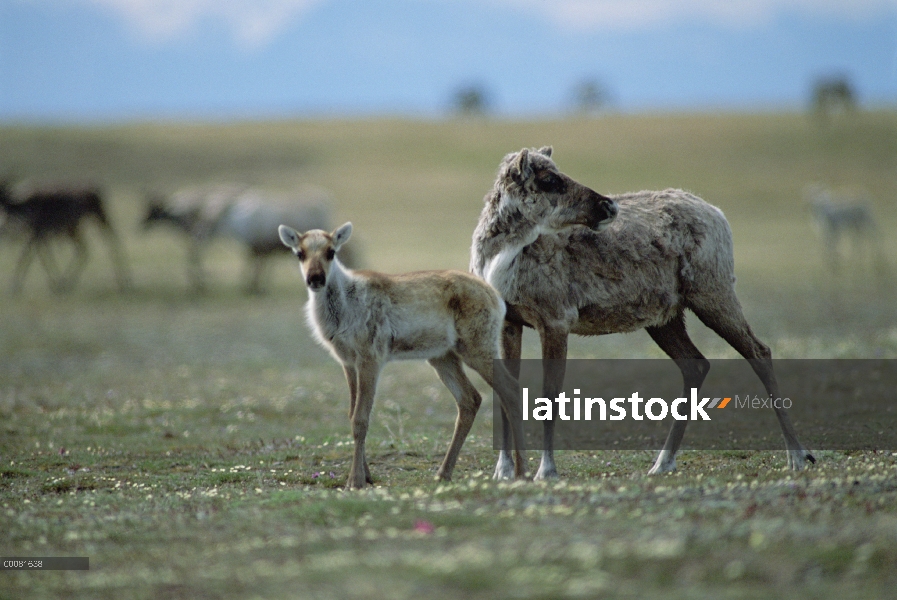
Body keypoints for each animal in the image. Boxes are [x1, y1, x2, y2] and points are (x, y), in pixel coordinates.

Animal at [276, 223, 520, 490]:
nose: (316, 278)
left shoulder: (370, 358)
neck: (341, 311)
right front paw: (367, 475)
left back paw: (521, 471)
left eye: (331, 251)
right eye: (299, 253)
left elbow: (361, 419)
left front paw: (355, 480)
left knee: (511, 390)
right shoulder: (347, 362)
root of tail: (497, 298)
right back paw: (443, 473)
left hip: (478, 348)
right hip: (442, 356)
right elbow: (352, 414)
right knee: (470, 399)